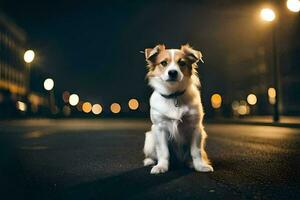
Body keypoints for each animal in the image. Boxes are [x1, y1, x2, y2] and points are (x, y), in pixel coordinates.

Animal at [141, 44, 213, 174]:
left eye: (182, 63)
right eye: (163, 63)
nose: (173, 72)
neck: (174, 95)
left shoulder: (196, 128)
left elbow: (196, 151)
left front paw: (200, 166)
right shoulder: (159, 128)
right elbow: (163, 152)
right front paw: (161, 166)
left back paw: (190, 163)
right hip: (150, 138)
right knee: (153, 154)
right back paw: (149, 161)